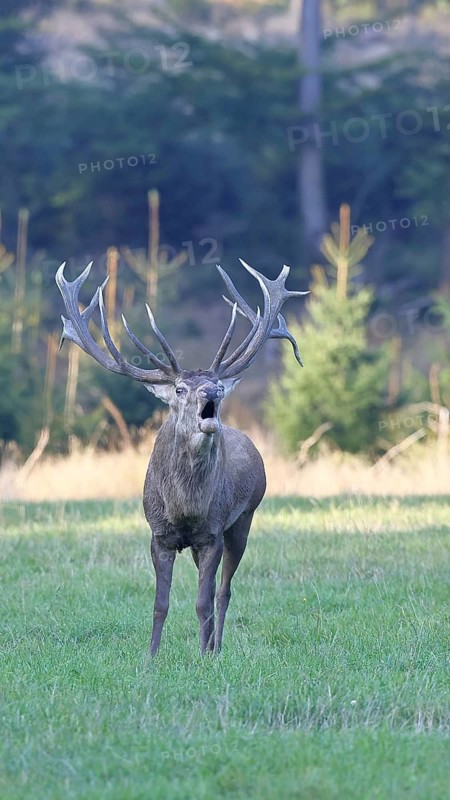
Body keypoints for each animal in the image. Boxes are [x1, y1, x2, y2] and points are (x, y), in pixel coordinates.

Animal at [56, 258, 308, 655]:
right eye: (179, 389)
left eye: (218, 386)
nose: (211, 393)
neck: (184, 507)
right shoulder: (159, 535)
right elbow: (160, 603)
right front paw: (151, 656)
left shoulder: (212, 532)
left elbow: (203, 601)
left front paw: (203, 655)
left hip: (244, 518)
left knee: (223, 591)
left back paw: (216, 648)